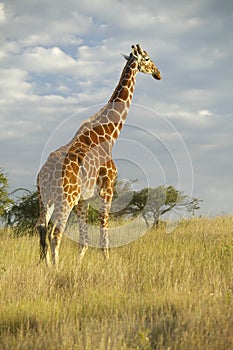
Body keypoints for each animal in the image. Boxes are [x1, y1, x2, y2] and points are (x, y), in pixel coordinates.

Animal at [36, 43, 162, 266]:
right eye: (147, 58)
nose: (158, 74)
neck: (109, 135)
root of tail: (45, 172)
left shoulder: (83, 200)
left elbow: (84, 241)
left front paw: (78, 266)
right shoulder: (107, 189)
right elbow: (104, 233)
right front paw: (107, 262)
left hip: (46, 198)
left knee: (42, 229)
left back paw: (46, 266)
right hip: (65, 198)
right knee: (55, 233)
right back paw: (56, 269)